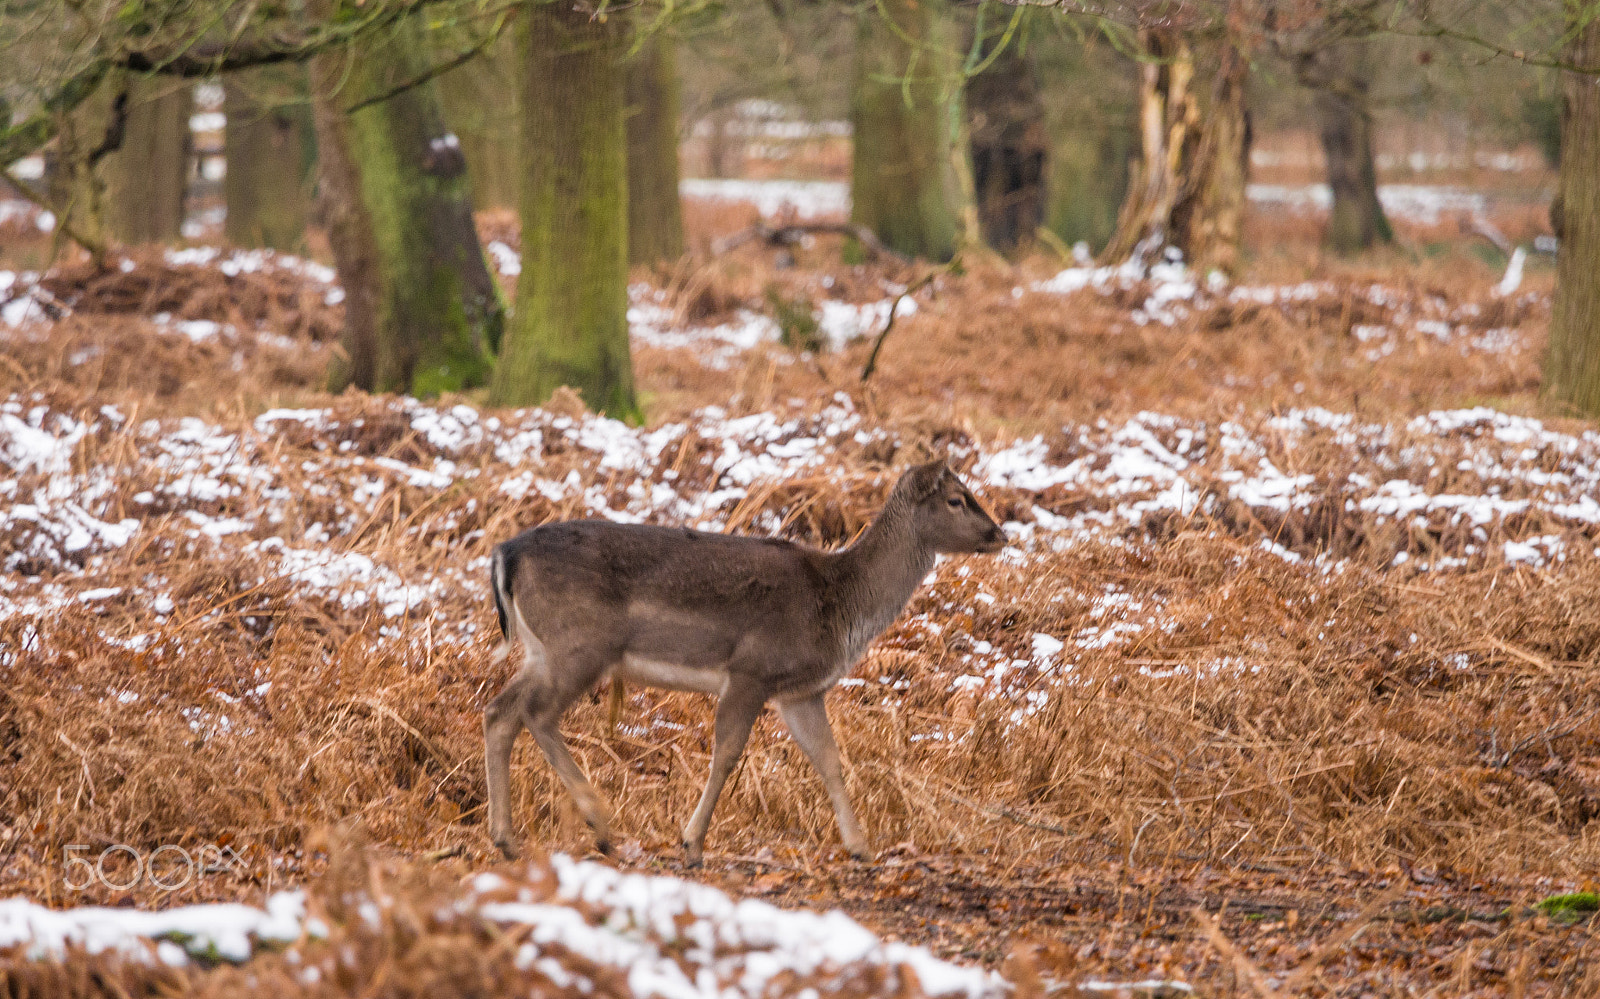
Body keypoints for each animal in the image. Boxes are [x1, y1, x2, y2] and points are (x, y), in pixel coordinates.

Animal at [480, 464, 1004, 864]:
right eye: (957, 499)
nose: (1000, 533)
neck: (840, 606)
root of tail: (505, 553)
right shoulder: (752, 669)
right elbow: (728, 752)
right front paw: (692, 843)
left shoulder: (801, 692)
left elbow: (829, 758)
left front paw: (860, 846)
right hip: (579, 646)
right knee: (536, 713)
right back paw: (602, 825)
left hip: (542, 651)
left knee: (499, 710)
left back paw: (506, 839)